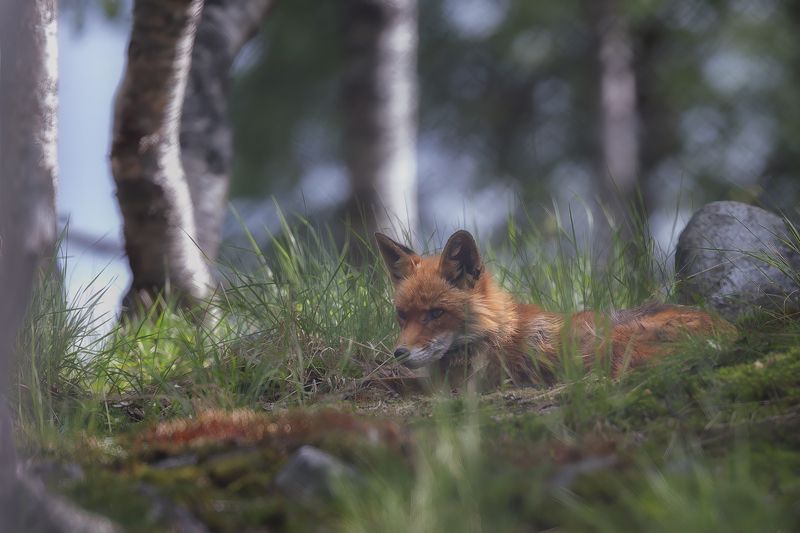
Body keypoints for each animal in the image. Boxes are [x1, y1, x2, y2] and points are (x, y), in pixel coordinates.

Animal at [376, 230, 734, 389]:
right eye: (402, 315)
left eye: (436, 313)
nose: (399, 353)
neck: (491, 333)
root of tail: (731, 331)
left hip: (610, 341)